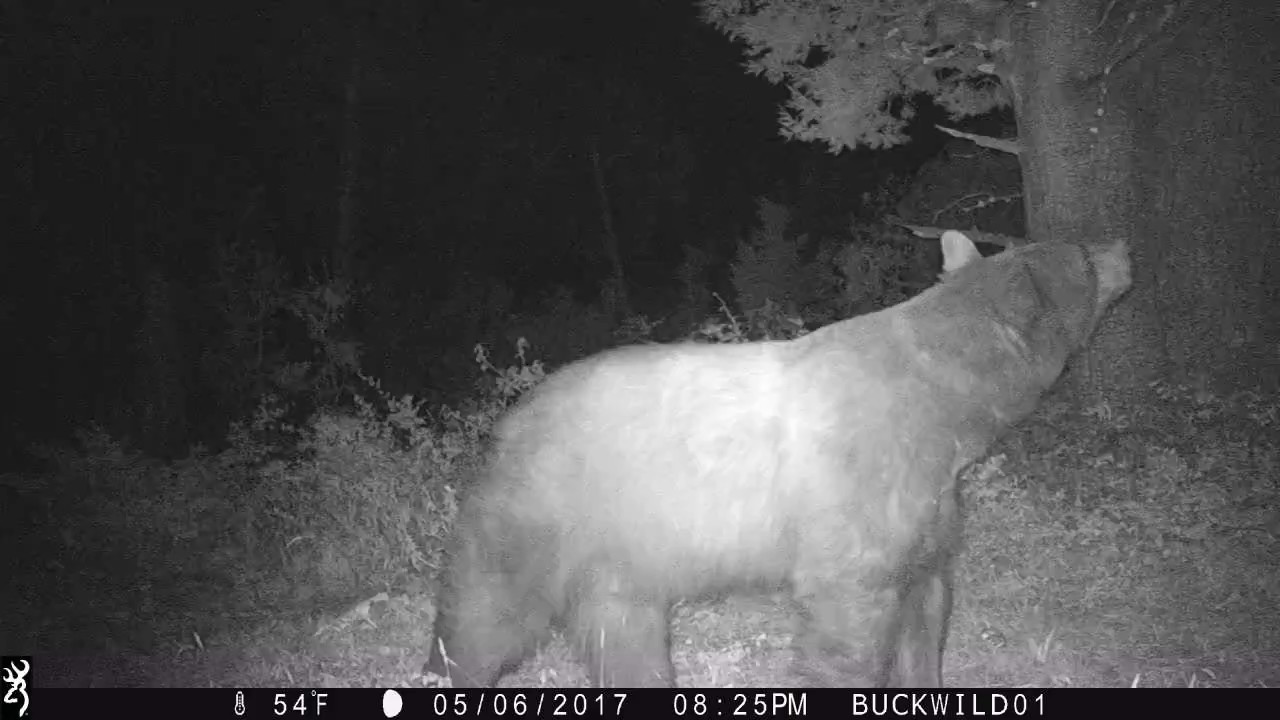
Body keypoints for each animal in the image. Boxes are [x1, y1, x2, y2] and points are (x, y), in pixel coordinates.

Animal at [424, 231, 1132, 688]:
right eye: (1081, 256)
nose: (1123, 247)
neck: (948, 408)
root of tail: (511, 419)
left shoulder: (930, 503)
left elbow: (926, 606)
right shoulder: (859, 490)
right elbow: (850, 614)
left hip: (622, 549)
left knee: (621, 629)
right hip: (543, 514)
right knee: (486, 613)